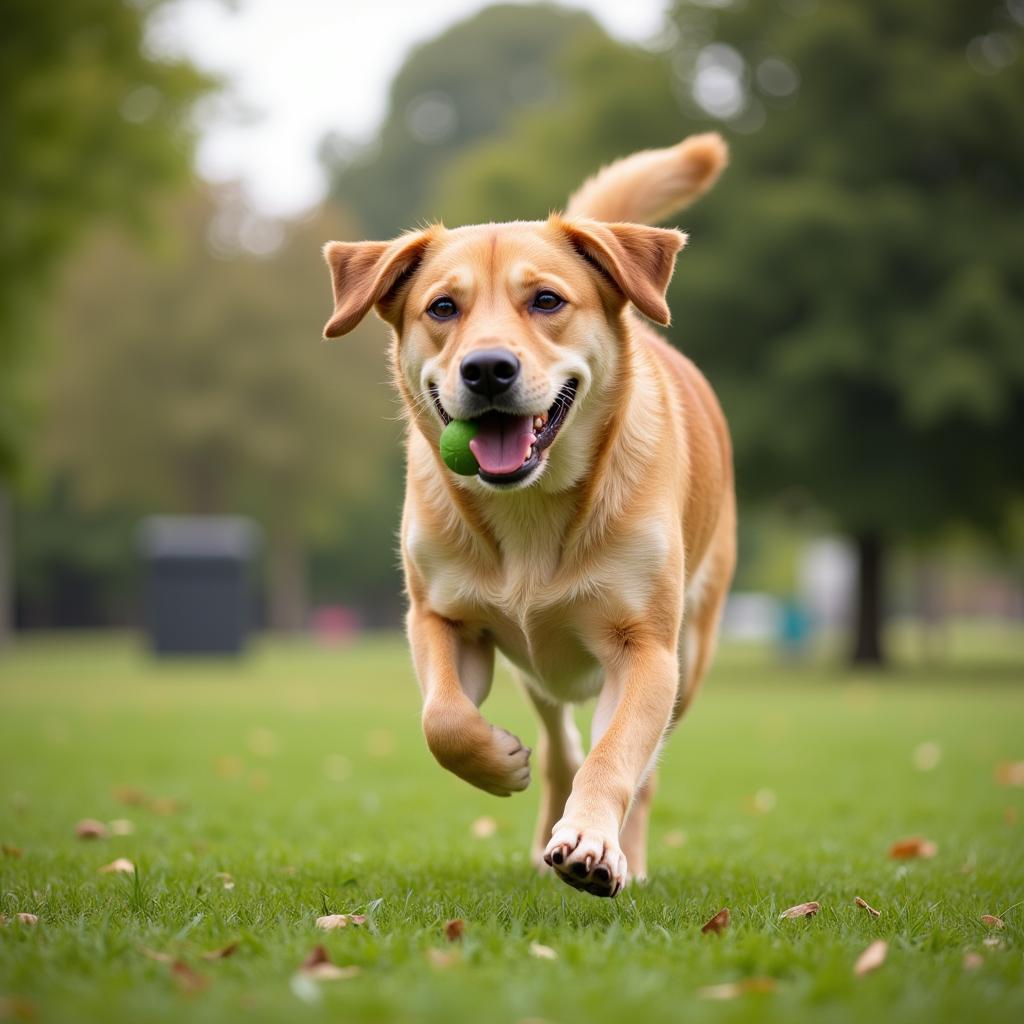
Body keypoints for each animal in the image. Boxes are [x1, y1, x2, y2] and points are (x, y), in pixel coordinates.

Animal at [323, 134, 733, 897]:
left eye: (547, 300)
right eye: (442, 307)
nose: (488, 368)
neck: (530, 509)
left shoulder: (646, 649)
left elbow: (616, 755)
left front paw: (595, 844)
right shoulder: (440, 618)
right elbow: (443, 718)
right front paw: (497, 760)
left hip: (692, 650)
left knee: (635, 764)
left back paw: (620, 851)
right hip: (537, 668)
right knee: (561, 743)